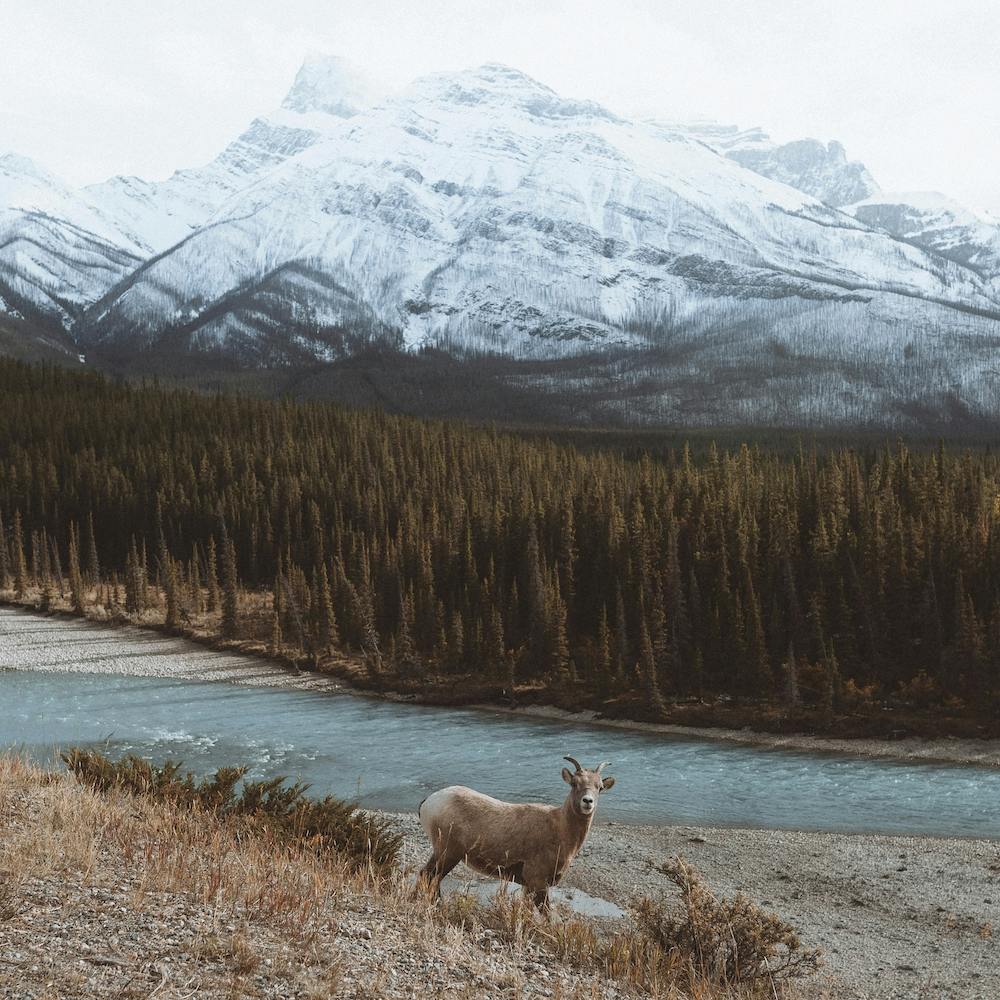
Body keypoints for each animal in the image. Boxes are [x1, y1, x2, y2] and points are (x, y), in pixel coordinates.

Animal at [417, 755, 615, 912]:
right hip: (447, 854)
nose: (587, 802)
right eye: (574, 784)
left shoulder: (529, 885)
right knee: (428, 876)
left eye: (599, 787)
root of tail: (429, 801)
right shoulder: (537, 881)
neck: (561, 830)